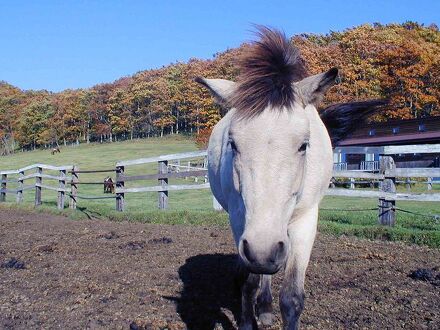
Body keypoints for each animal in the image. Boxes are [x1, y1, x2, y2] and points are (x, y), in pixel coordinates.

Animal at [196, 26, 384, 330]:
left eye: (304, 145)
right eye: (233, 144)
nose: (263, 249)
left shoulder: (304, 221)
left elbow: (292, 296)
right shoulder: (242, 222)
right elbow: (249, 282)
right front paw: (248, 321)